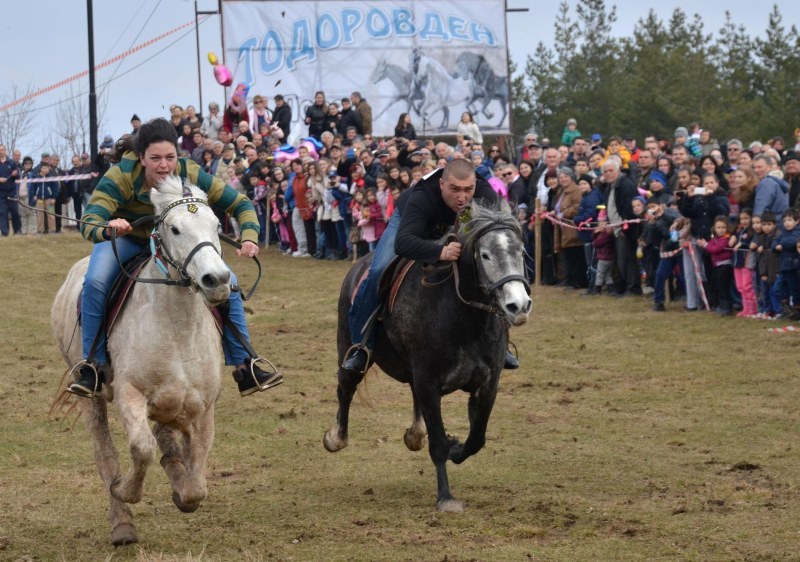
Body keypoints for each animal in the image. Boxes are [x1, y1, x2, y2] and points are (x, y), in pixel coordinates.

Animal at [52, 175, 231, 544]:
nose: (218, 281)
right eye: (175, 229)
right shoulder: (130, 395)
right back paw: (122, 524)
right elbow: (142, 448)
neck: (176, 330)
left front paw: (181, 487)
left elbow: (197, 478)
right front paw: (126, 490)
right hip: (89, 393)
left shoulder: (204, 406)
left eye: (217, 225)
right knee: (106, 453)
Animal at [324, 199, 532, 510]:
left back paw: (414, 434)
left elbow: (476, 438)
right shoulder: (428, 382)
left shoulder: (487, 384)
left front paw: (457, 448)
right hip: (348, 349)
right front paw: (445, 497)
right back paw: (336, 438)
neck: (462, 317)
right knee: (345, 389)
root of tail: (358, 266)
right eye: (484, 255)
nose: (518, 306)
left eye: (520, 251)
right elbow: (438, 442)